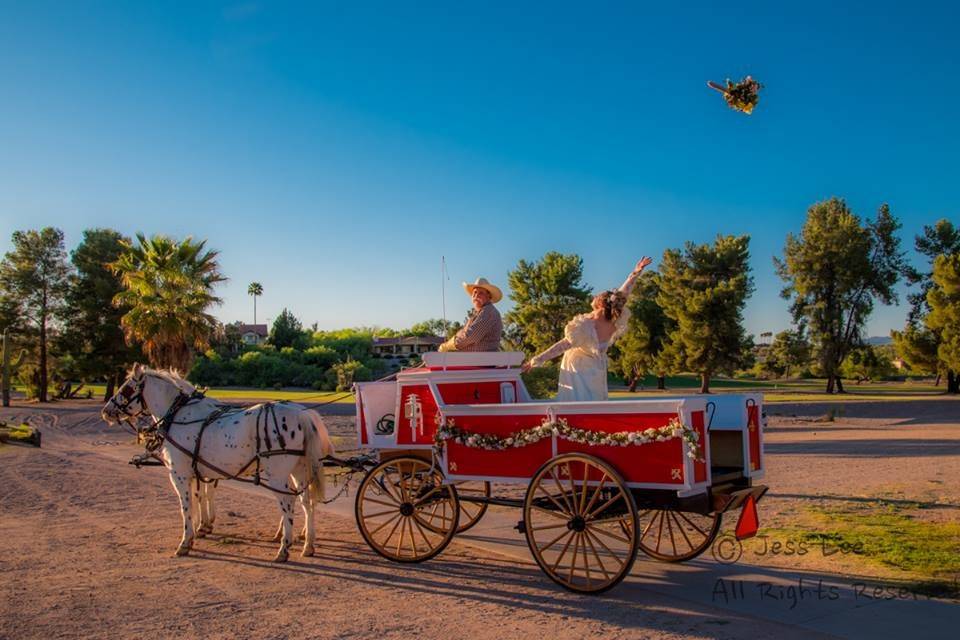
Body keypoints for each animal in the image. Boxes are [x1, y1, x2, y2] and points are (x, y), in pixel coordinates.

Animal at [101, 364, 334, 560]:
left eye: (126, 389)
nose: (106, 411)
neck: (179, 415)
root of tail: (302, 414)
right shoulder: (199, 472)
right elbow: (199, 497)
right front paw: (200, 528)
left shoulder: (179, 473)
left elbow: (186, 506)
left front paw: (186, 541)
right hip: (299, 470)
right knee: (307, 501)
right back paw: (308, 545)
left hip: (278, 474)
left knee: (288, 502)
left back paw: (284, 548)